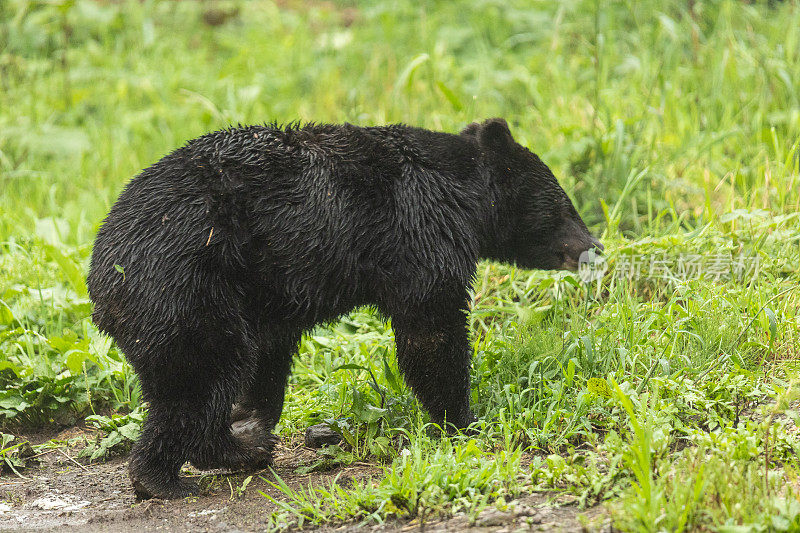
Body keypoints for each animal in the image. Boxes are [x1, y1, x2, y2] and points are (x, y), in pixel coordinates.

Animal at [87, 118, 600, 496]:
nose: (593, 245)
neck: (460, 195)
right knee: (202, 380)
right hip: (187, 292)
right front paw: (462, 420)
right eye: (564, 205)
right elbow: (432, 330)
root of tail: (101, 280)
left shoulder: (274, 294)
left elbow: (271, 353)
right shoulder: (419, 234)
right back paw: (179, 473)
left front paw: (251, 415)